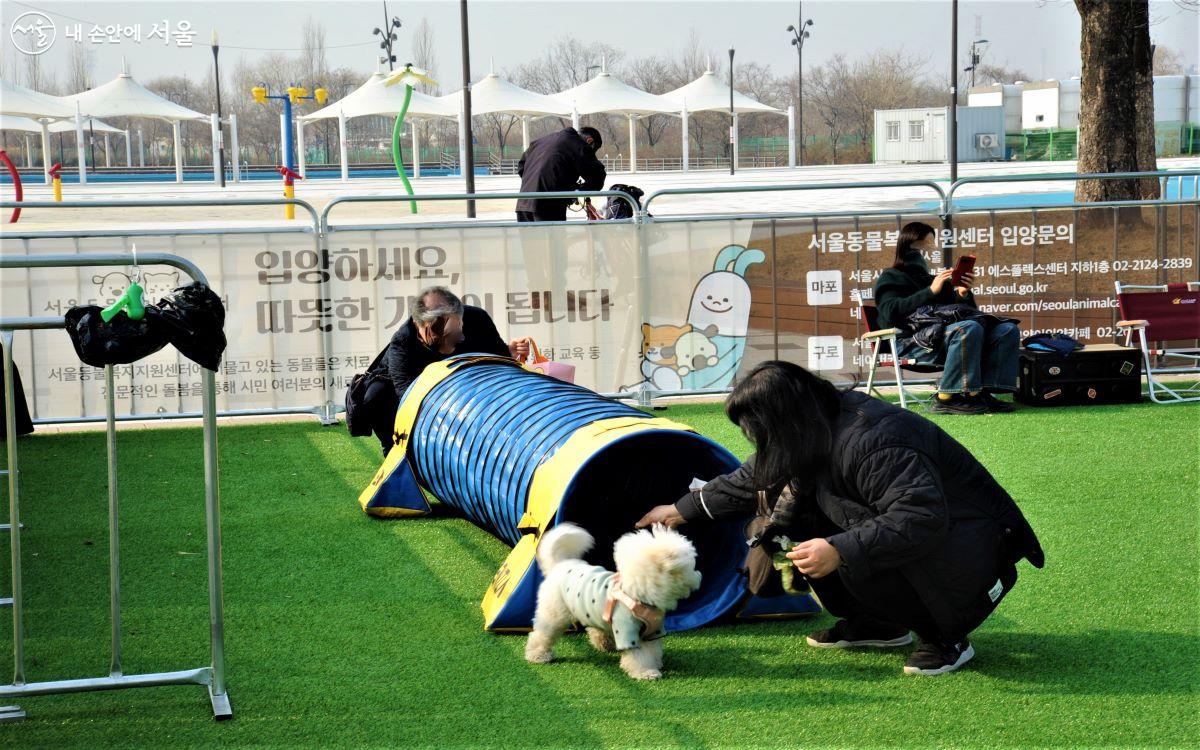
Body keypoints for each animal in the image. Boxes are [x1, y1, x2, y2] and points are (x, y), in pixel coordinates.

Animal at [525, 520, 700, 676]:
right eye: (691, 567)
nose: (699, 575)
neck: (638, 594)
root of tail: (559, 565)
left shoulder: (652, 632)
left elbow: (652, 651)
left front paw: (655, 664)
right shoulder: (628, 632)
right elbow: (640, 656)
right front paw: (645, 672)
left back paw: (604, 644)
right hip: (554, 614)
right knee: (542, 634)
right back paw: (537, 655)